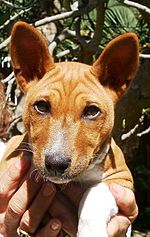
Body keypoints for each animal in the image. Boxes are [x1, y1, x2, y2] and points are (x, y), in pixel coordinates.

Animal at [0, 22, 139, 237]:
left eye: (92, 111)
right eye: (41, 106)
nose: (56, 163)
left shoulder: (121, 181)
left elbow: (95, 192)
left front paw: (91, 232)